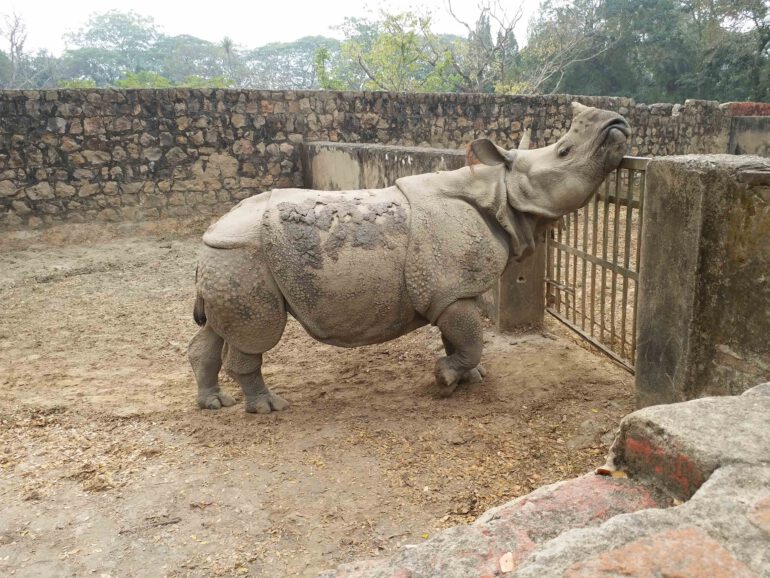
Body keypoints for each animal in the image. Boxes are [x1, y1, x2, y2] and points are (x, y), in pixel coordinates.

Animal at [188, 102, 630, 413]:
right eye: (564, 151)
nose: (614, 122)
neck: (499, 189)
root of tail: (210, 233)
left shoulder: (453, 289)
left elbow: (460, 337)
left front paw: (470, 377)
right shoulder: (448, 289)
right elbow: (471, 339)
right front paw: (445, 378)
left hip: (228, 260)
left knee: (220, 330)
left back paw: (214, 403)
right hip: (243, 256)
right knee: (257, 333)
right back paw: (267, 408)